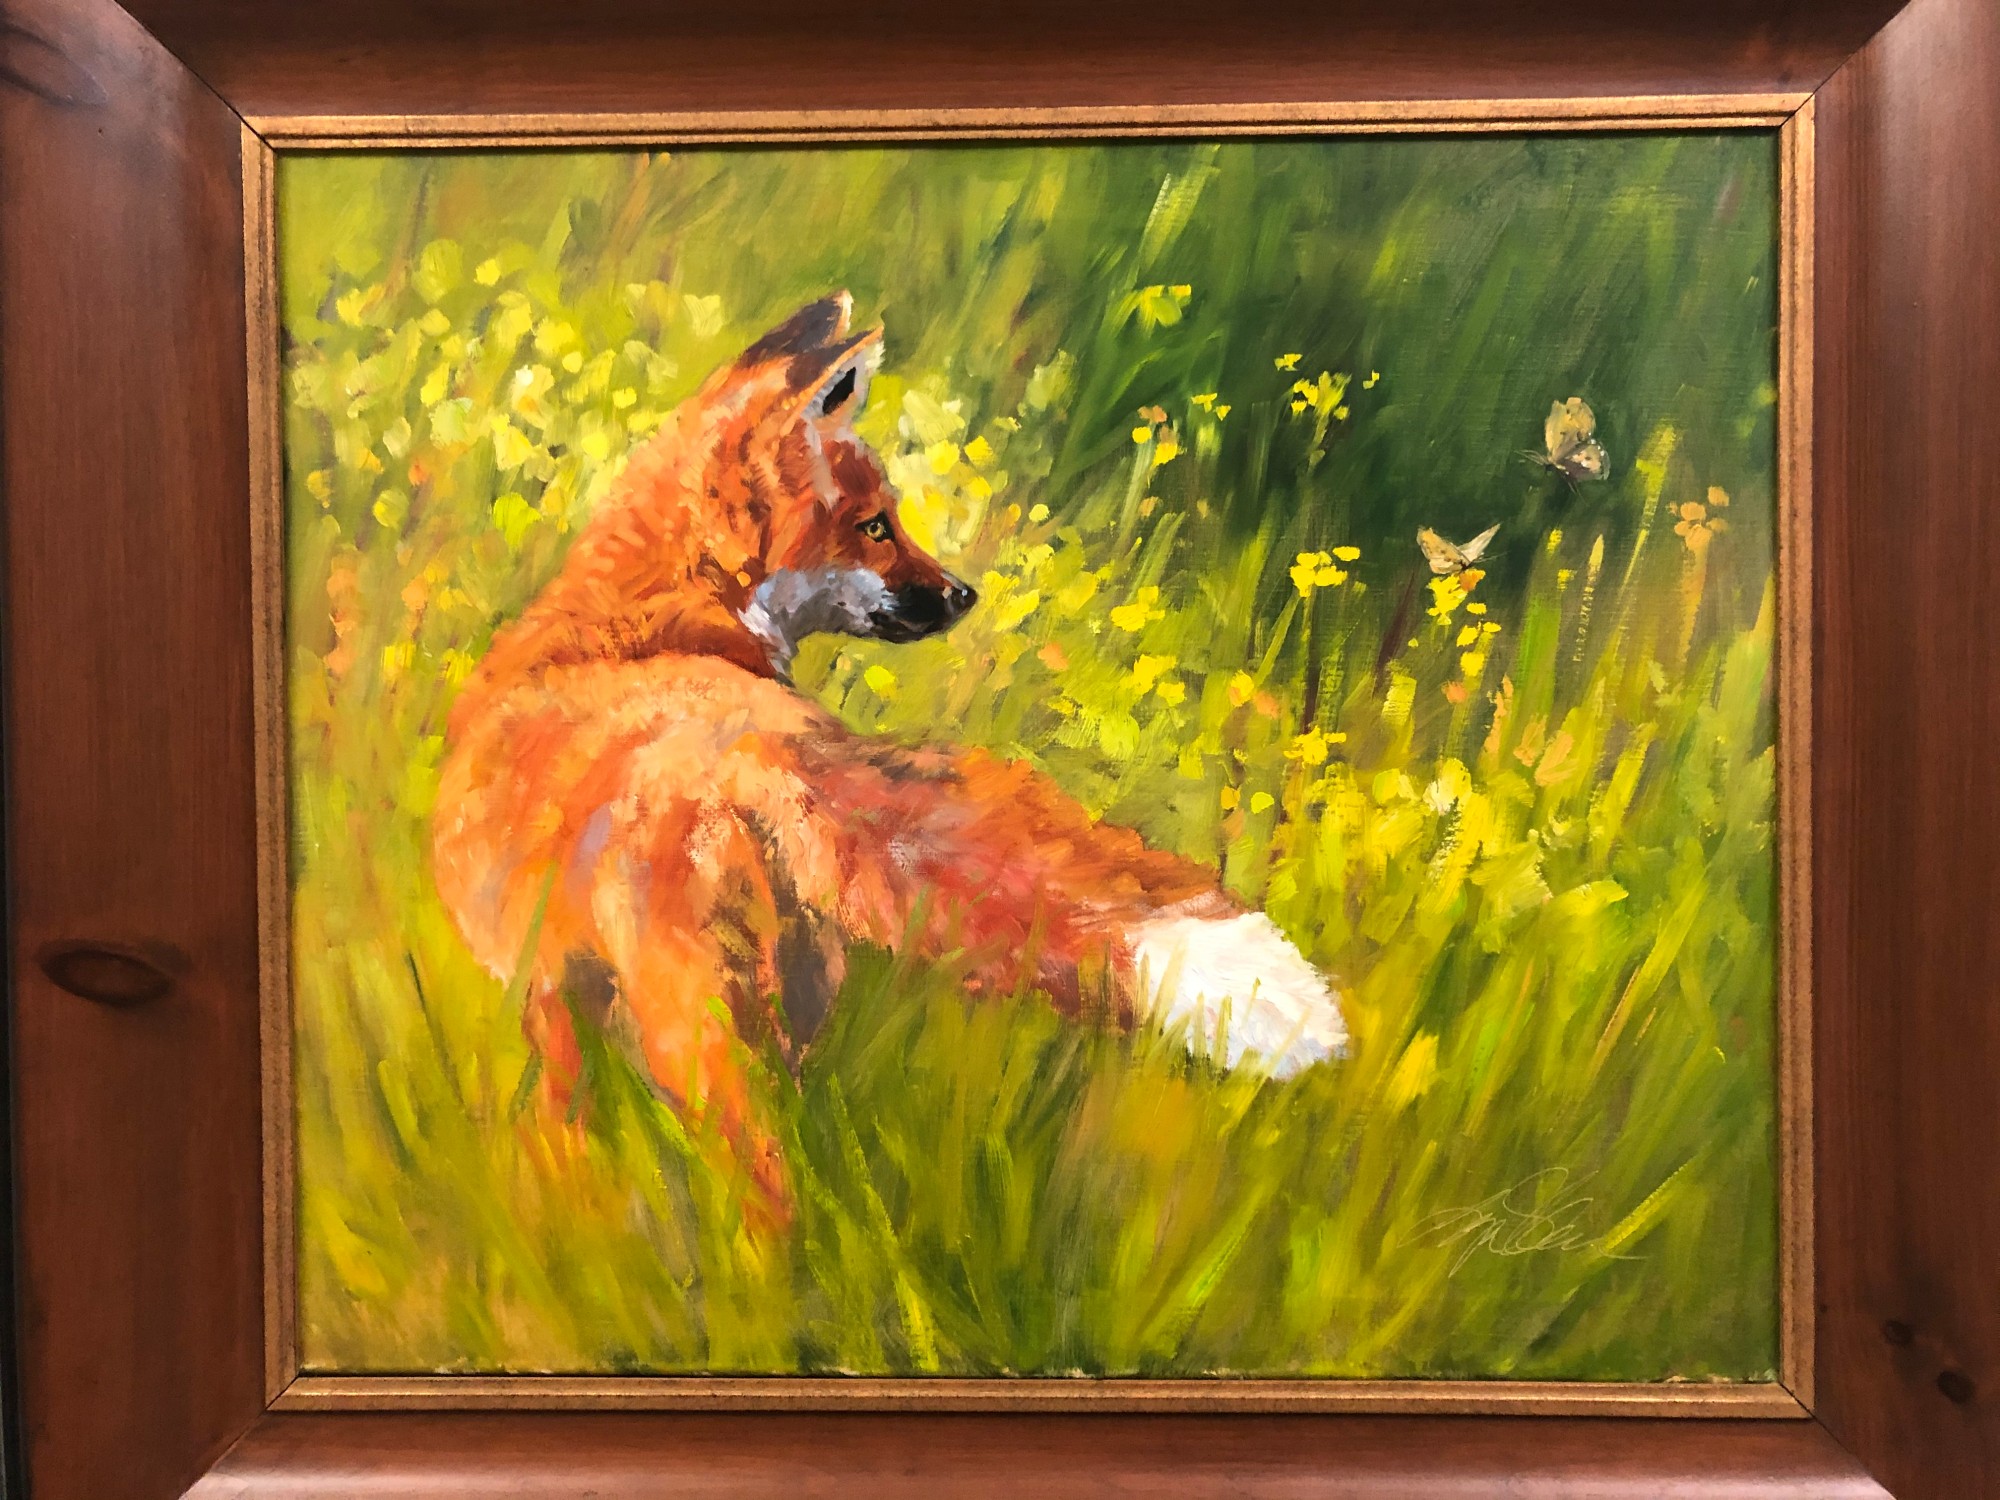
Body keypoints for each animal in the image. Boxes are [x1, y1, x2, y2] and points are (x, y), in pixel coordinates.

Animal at [432, 292, 1346, 1215]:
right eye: (874, 526)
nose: (964, 594)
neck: (645, 620)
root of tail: (764, 745)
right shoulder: (558, 993)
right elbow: (563, 1125)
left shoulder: (543, 994)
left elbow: (556, 1130)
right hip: (783, 1006)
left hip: (697, 1030)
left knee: (763, 1179)